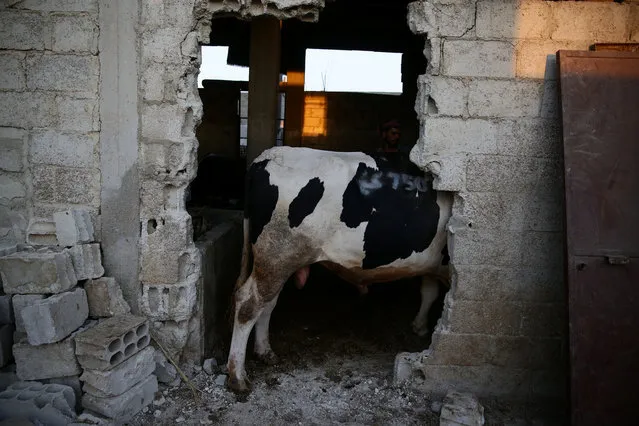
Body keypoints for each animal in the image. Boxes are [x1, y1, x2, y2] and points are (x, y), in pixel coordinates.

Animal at [228, 146, 452, 392]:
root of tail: (267, 156)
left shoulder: (433, 265)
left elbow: (429, 292)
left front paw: (420, 326)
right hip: (276, 254)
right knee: (248, 304)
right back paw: (237, 376)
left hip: (278, 260)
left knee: (267, 303)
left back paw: (264, 351)